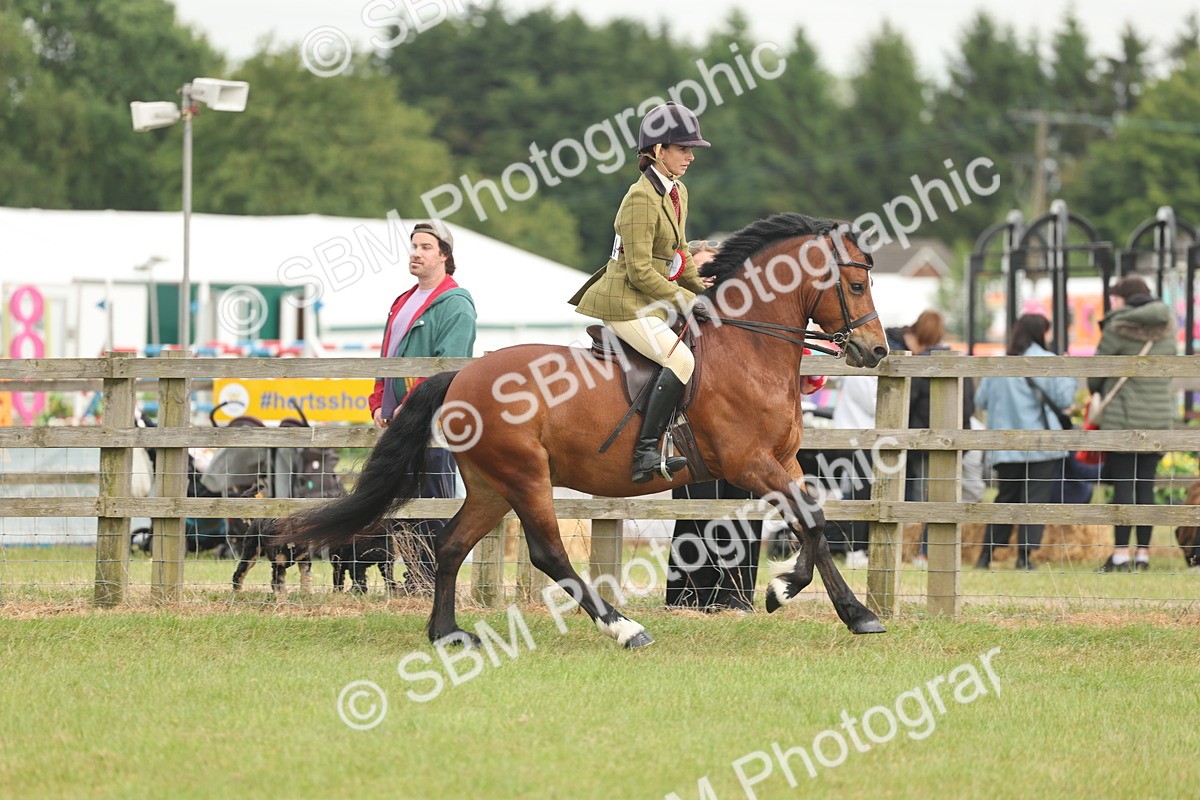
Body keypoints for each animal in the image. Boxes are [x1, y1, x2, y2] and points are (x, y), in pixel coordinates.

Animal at [281, 213, 890, 648]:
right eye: (858, 283)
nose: (877, 350)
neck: (748, 347)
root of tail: (461, 376)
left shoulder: (782, 462)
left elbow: (815, 521)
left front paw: (836, 607)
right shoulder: (749, 463)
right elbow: (813, 520)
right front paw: (792, 592)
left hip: (490, 484)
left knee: (451, 545)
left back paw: (447, 634)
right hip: (526, 476)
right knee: (548, 553)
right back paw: (624, 628)